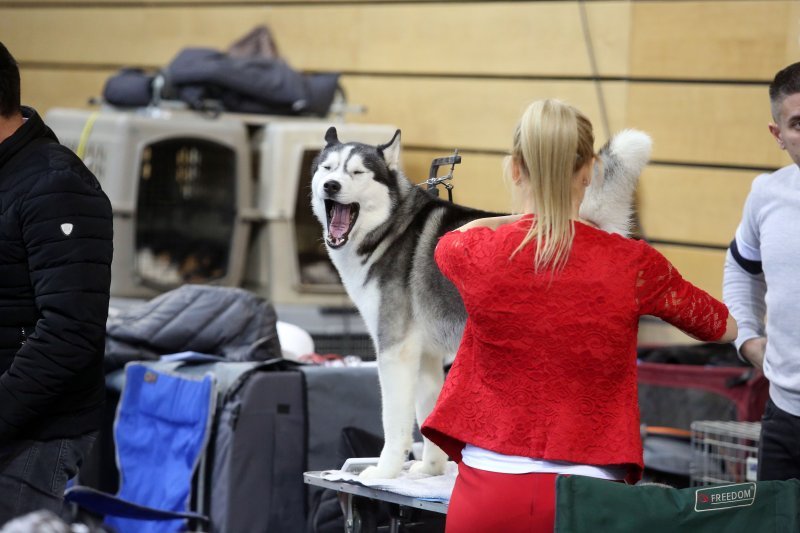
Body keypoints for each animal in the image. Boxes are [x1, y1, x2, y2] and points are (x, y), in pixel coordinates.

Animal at [310, 125, 652, 478]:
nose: (331, 185)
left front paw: (384, 471)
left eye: (356, 172)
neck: (391, 228)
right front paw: (430, 469)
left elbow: (395, 423)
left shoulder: (395, 350)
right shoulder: (426, 355)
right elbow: (427, 414)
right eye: (327, 168)